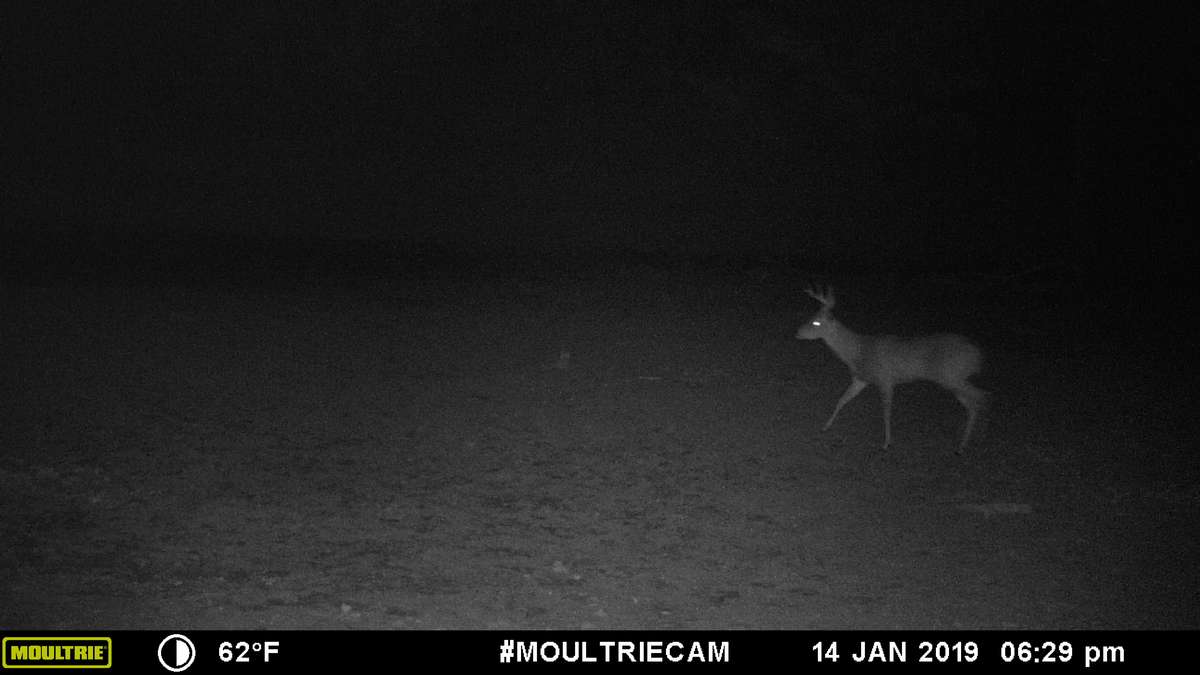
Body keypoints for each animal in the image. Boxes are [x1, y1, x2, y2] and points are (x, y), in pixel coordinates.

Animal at [796, 285, 987, 453]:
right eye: (811, 317)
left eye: (816, 322)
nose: (797, 333)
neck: (859, 351)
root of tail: (977, 355)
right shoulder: (861, 379)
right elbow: (842, 399)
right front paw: (825, 426)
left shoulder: (885, 379)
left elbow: (886, 412)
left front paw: (886, 443)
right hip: (954, 380)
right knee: (973, 402)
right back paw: (965, 441)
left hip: (952, 376)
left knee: (981, 396)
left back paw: (964, 445)